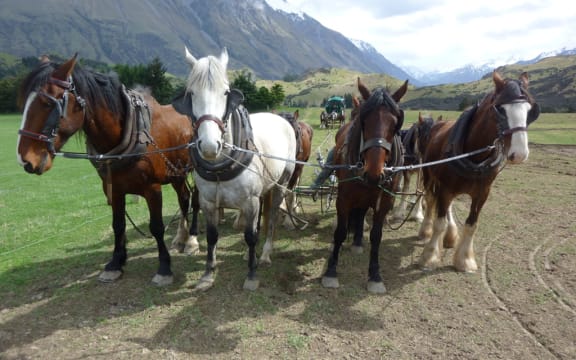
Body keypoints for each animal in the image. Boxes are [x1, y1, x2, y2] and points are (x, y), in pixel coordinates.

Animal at [16, 54, 200, 284]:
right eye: (24, 102)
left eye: (48, 103)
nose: (25, 160)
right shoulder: (114, 188)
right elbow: (118, 225)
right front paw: (115, 263)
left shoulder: (152, 189)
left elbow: (156, 227)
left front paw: (164, 267)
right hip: (176, 173)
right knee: (184, 199)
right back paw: (181, 238)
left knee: (196, 199)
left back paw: (192, 239)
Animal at [171, 47, 296, 292]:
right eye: (191, 94)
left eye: (225, 92)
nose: (210, 146)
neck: (221, 165)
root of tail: (281, 118)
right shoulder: (209, 202)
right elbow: (212, 236)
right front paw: (208, 274)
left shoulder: (250, 201)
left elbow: (250, 236)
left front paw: (252, 275)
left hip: (281, 183)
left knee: (272, 215)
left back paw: (264, 255)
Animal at [322, 78, 408, 292]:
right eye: (364, 120)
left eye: (395, 124)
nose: (374, 174)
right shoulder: (344, 198)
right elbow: (340, 232)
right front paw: (331, 271)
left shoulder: (384, 200)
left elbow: (377, 236)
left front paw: (375, 275)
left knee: (360, 213)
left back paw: (358, 241)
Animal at [418, 71, 540, 272]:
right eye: (499, 109)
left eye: (530, 110)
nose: (520, 154)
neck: (474, 157)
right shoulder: (445, 188)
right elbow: (439, 223)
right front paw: (430, 256)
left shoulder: (482, 193)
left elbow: (471, 224)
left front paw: (465, 260)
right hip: (429, 175)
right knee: (430, 199)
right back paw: (426, 230)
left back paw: (450, 236)